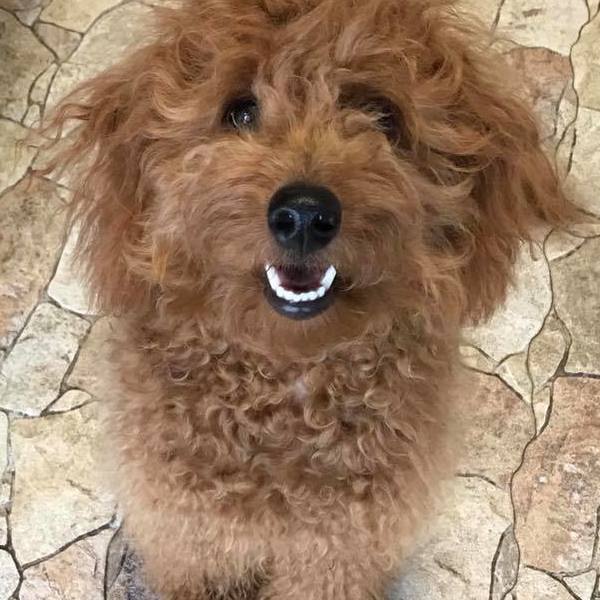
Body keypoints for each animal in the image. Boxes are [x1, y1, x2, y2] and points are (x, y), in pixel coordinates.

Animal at [43, 0, 576, 598]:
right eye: (240, 112)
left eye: (382, 116)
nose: (303, 214)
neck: (284, 387)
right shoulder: (193, 535)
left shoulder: (338, 549)